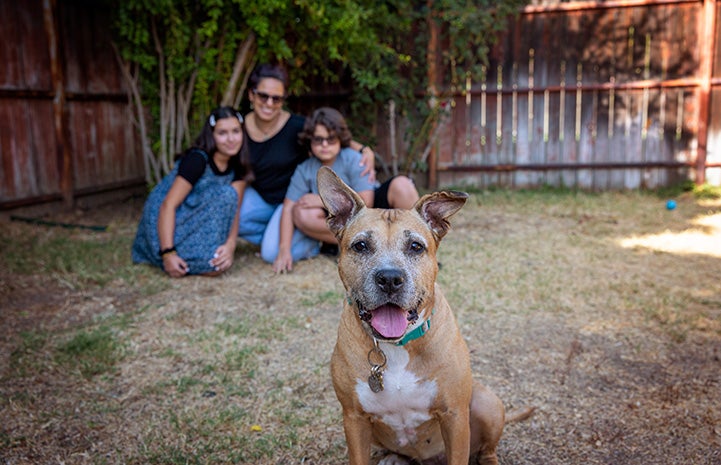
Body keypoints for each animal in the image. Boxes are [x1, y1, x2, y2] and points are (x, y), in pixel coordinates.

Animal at [318, 168, 504, 464]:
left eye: (416, 246)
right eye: (360, 246)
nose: (390, 278)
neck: (395, 346)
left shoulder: (454, 416)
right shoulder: (354, 419)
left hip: (486, 403)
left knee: (487, 449)